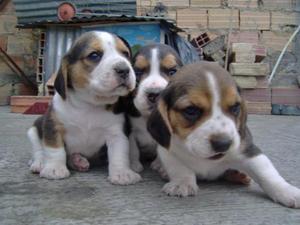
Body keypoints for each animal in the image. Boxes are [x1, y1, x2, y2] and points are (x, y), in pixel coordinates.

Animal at [27, 30, 142, 185]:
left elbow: (119, 153)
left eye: (125, 54)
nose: (124, 69)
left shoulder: (116, 133)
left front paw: (122, 173)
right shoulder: (53, 126)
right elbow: (54, 150)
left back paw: (77, 160)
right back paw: (39, 163)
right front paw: (54, 169)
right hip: (34, 129)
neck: (89, 104)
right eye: (94, 55)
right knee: (38, 149)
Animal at [127, 44, 183, 174]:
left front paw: (160, 165)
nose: (155, 94)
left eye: (172, 72)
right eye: (137, 72)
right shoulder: (130, 129)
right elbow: (133, 148)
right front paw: (133, 165)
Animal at [147, 61, 300, 207]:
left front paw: (287, 191)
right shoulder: (167, 150)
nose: (224, 144)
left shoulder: (248, 150)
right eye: (191, 110)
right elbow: (179, 168)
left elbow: (267, 173)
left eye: (235, 107)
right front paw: (182, 183)